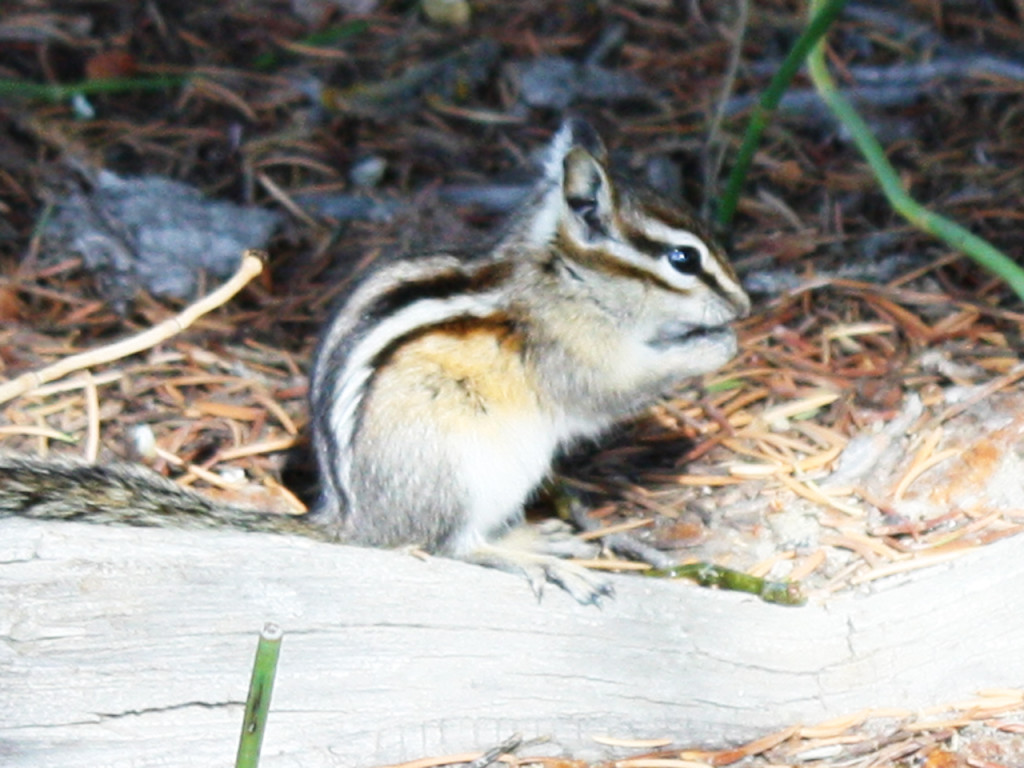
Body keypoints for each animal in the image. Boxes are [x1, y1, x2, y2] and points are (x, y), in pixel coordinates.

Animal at [0, 119, 750, 604]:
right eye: (683, 259)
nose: (743, 304)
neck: (558, 274)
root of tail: (351, 522)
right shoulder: (569, 349)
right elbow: (611, 392)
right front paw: (715, 346)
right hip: (462, 465)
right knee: (449, 545)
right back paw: (534, 561)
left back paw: (542, 539)